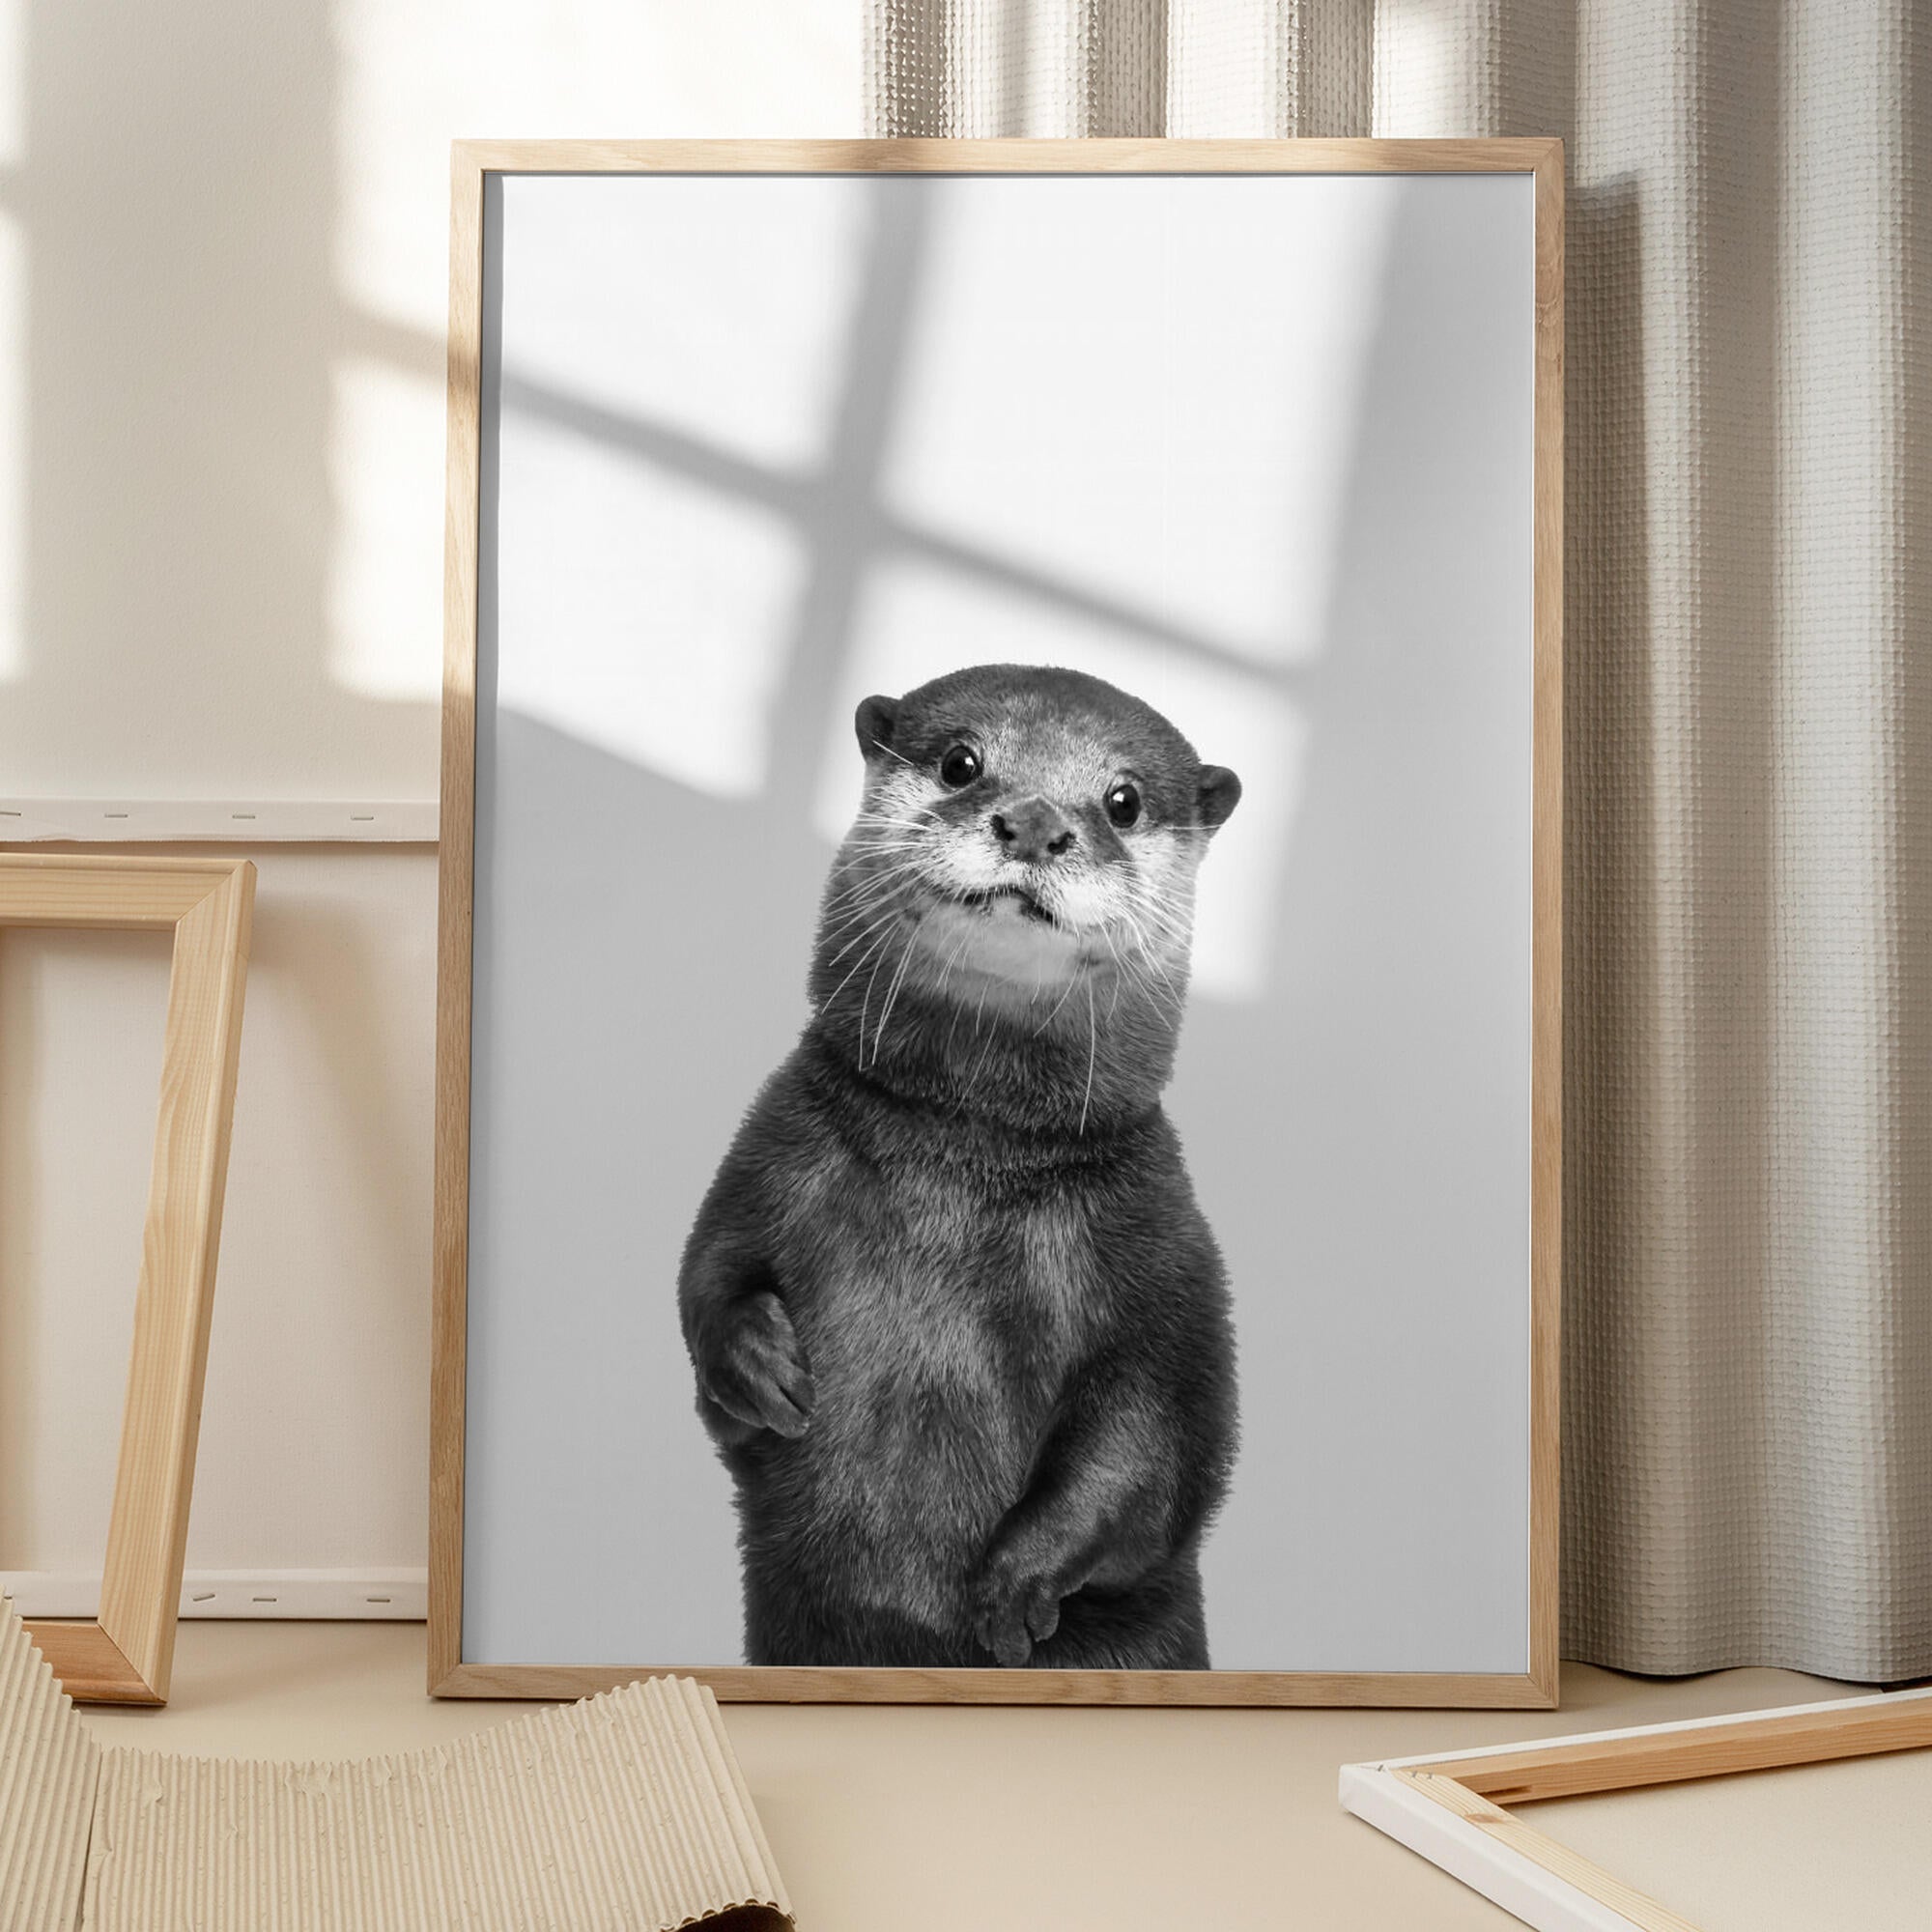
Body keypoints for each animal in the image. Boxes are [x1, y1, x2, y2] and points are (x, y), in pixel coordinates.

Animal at [678, 663, 1240, 1671]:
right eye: (961, 762)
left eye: (1124, 800)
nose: (1034, 823)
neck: (963, 1160)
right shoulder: (769, 1156)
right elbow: (706, 1279)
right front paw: (756, 1363)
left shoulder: (1165, 1253)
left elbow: (1156, 1445)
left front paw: (1015, 1585)